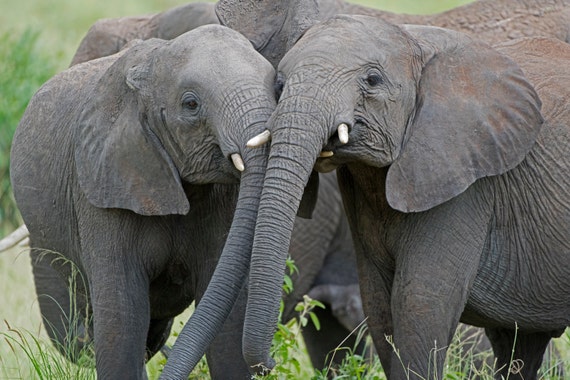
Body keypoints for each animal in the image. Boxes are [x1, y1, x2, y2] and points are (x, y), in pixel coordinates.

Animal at [10, 25, 278, 378]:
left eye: (277, 85)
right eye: (191, 104)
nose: (268, 365)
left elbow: (226, 313)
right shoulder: (103, 190)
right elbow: (123, 316)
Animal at [220, 16, 568, 380]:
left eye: (372, 80)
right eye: (279, 84)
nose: (269, 365)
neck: (416, 41)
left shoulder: (464, 180)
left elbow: (418, 301)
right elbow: (379, 304)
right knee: (519, 341)